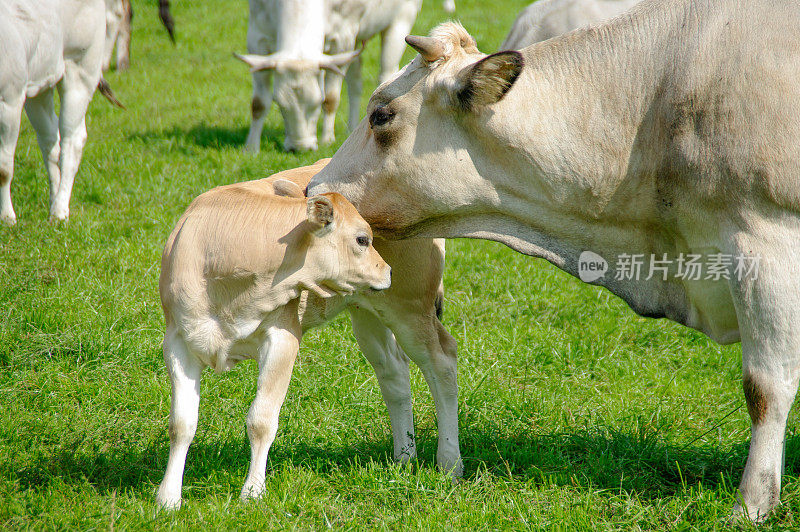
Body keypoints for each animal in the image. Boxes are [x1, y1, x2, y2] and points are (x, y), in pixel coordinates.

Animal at [0, 0, 115, 224]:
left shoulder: (9, 100)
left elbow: (4, 167)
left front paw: (7, 217)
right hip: (39, 85)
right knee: (50, 140)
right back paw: (53, 201)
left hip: (81, 69)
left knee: (72, 141)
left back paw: (59, 211)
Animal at [156, 160, 460, 510]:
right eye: (361, 239)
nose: (388, 271)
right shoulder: (178, 341)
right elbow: (181, 424)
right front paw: (168, 498)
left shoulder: (283, 337)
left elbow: (261, 420)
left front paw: (252, 492)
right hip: (368, 312)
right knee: (394, 373)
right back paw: (404, 457)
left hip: (410, 308)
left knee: (442, 360)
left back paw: (450, 463)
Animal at [236, 0, 424, 152]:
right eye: (280, 105)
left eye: (316, 103)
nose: (300, 148)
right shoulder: (257, 36)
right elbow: (259, 103)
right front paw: (251, 147)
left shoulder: (343, 39)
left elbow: (331, 98)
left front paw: (327, 139)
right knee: (355, 83)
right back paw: (352, 130)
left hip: (401, 20)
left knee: (385, 73)